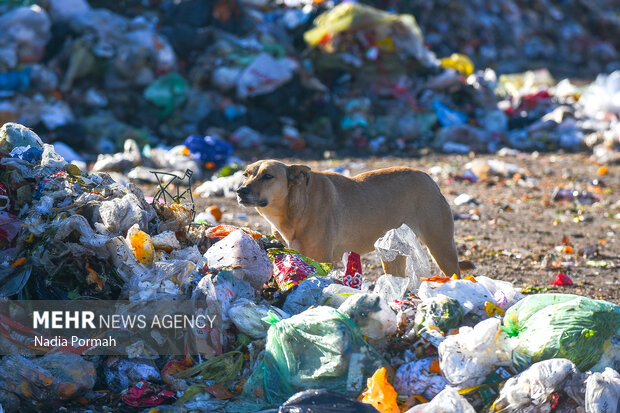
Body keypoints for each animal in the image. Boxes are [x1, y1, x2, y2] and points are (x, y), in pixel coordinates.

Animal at [235, 159, 468, 276]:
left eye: (267, 176)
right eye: (246, 174)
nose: (240, 191)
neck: (294, 207)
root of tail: (429, 179)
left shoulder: (320, 259)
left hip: (441, 248)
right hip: (393, 256)